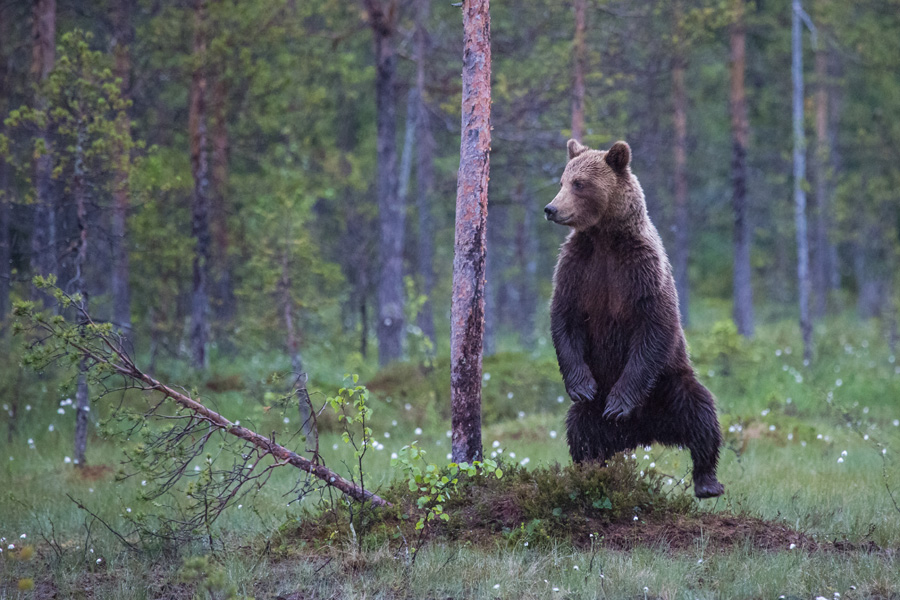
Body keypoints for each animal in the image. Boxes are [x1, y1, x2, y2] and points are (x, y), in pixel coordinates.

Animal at [540, 138, 724, 500]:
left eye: (579, 184)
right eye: (562, 181)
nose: (551, 209)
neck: (604, 238)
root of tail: (645, 431)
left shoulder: (641, 269)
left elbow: (654, 325)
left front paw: (618, 404)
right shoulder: (577, 267)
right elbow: (565, 317)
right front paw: (581, 385)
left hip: (670, 385)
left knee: (701, 414)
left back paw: (707, 481)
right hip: (594, 412)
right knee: (581, 431)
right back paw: (589, 471)